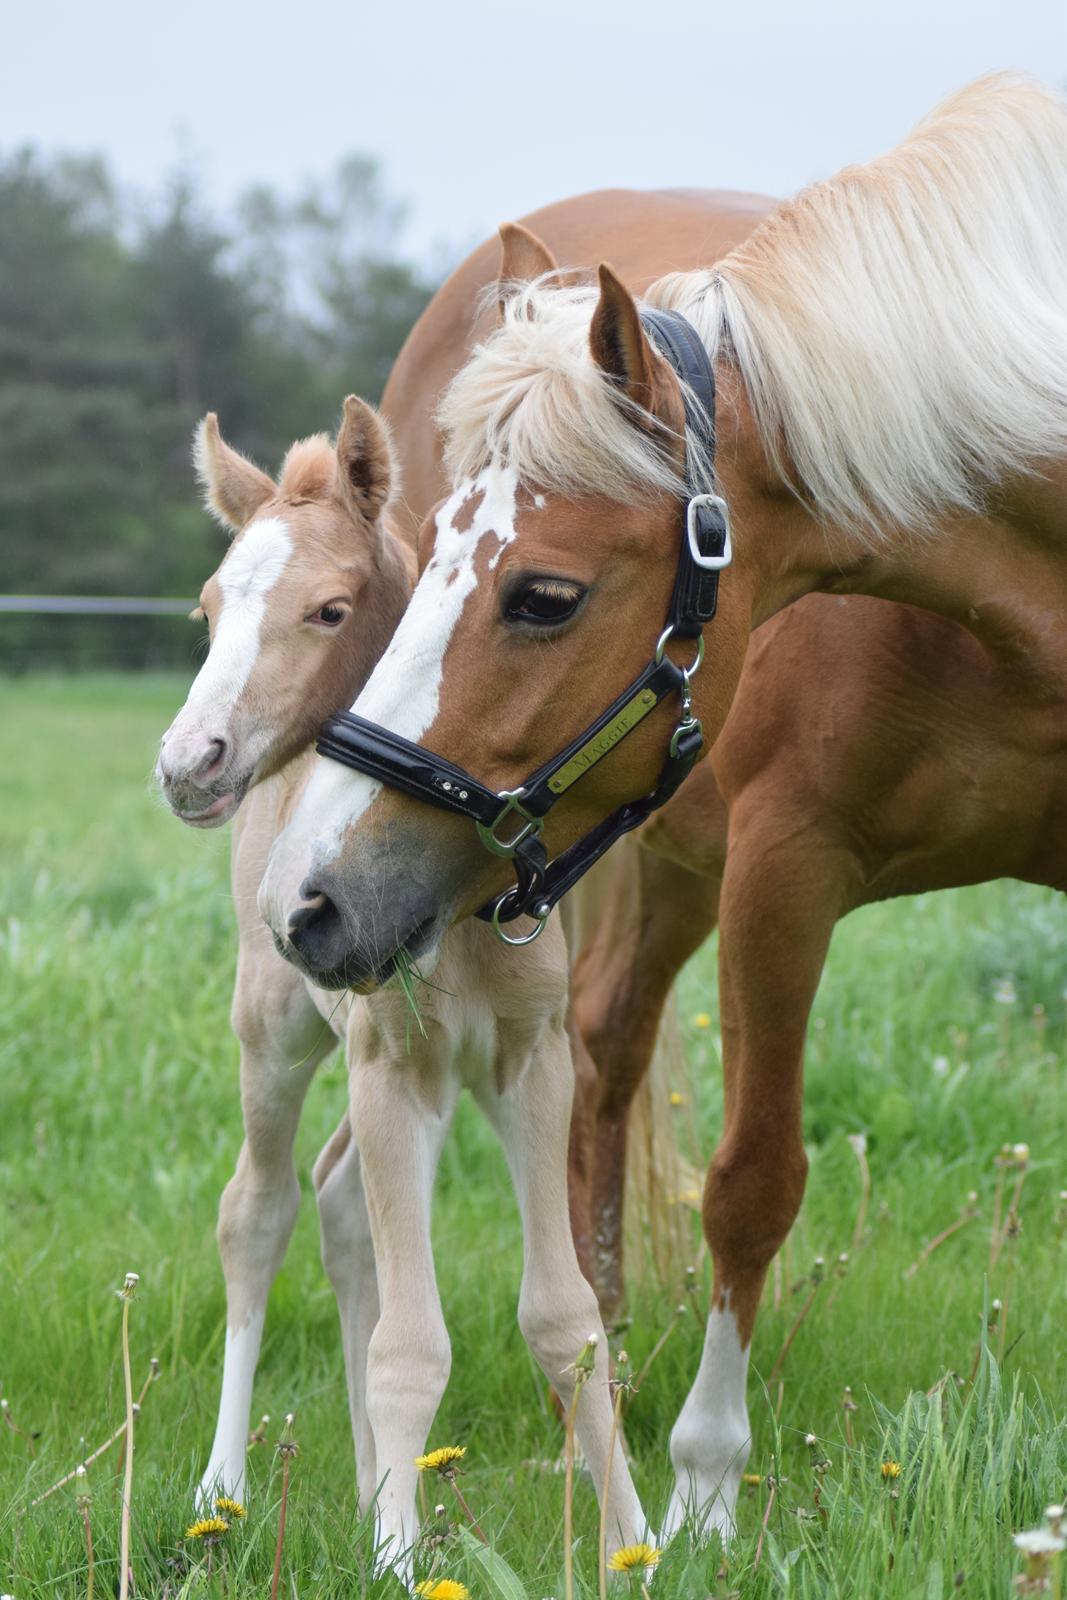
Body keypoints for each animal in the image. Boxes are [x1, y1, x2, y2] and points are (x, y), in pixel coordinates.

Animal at [262, 75, 1067, 1536]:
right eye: (429, 554)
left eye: (545, 595)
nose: (313, 896)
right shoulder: (781, 870)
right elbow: (750, 1181)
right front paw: (701, 1480)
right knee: (596, 1071)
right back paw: (607, 1382)